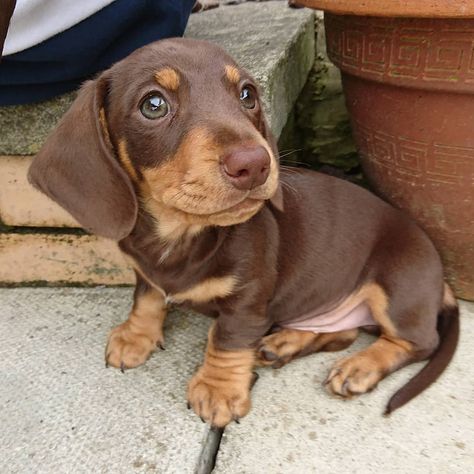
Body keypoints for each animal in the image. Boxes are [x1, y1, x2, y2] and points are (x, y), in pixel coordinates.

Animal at [28, 39, 460, 428]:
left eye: (247, 94)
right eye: (153, 104)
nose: (255, 164)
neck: (179, 234)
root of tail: (440, 279)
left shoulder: (248, 303)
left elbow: (226, 339)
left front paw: (219, 390)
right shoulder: (145, 272)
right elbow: (147, 298)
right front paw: (136, 336)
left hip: (397, 285)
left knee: (416, 342)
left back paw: (359, 367)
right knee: (344, 333)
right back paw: (283, 344)